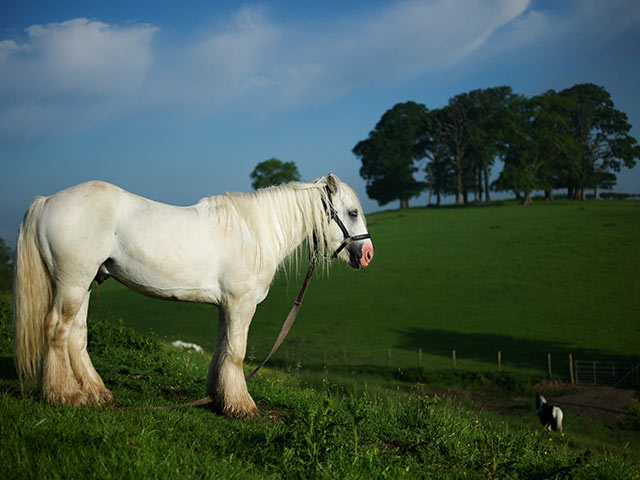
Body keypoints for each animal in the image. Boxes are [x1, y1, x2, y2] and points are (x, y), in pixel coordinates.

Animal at [12, 174, 372, 418]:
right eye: (352, 212)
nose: (367, 254)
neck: (256, 231)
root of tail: (47, 201)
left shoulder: (226, 306)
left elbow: (222, 351)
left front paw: (219, 397)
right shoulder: (241, 304)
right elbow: (237, 353)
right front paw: (242, 407)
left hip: (85, 284)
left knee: (76, 334)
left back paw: (96, 394)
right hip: (72, 283)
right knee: (56, 329)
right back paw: (64, 395)